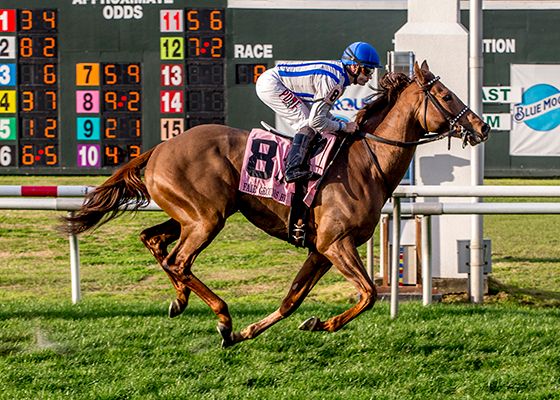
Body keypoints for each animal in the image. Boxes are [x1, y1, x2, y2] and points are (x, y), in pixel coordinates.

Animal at [64, 61, 490, 347]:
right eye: (447, 95)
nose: (482, 127)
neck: (365, 162)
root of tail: (160, 147)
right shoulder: (335, 243)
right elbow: (368, 293)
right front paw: (320, 324)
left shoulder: (320, 249)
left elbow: (292, 301)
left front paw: (249, 332)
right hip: (207, 218)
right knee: (179, 260)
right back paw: (221, 315)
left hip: (191, 214)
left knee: (154, 242)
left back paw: (181, 301)